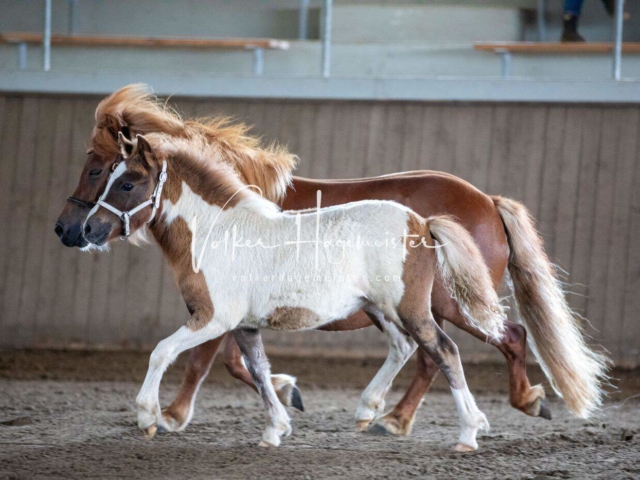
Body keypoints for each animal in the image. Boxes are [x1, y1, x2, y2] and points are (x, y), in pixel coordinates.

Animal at [57, 85, 608, 436]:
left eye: (119, 177)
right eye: (101, 171)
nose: (75, 231)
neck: (222, 229)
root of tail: (426, 221)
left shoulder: (214, 316)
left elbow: (173, 355)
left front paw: (158, 417)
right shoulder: (243, 324)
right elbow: (253, 369)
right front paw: (279, 420)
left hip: (435, 306)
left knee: (456, 348)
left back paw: (446, 423)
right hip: (388, 309)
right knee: (415, 350)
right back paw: (379, 413)